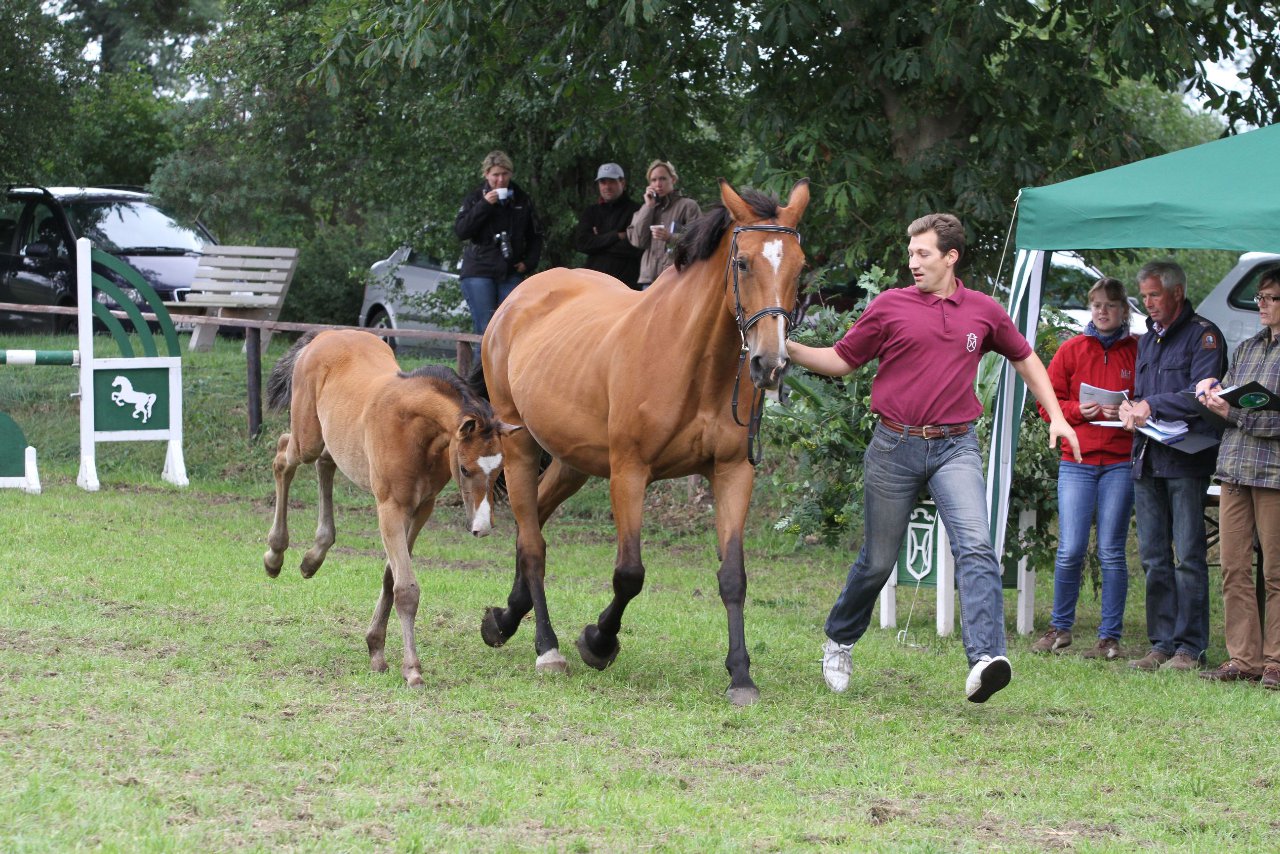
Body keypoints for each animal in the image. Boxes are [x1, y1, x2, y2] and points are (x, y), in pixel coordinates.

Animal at [264, 330, 519, 691]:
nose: (482, 527)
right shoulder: (390, 508)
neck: (413, 430)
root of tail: (325, 334)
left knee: (325, 463)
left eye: (499, 471)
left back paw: (314, 556)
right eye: (465, 469)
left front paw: (376, 649)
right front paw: (412, 668)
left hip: (334, 439)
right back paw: (275, 555)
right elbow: (406, 588)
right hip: (307, 438)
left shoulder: (421, 508)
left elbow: (390, 576)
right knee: (283, 455)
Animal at [481, 176, 808, 706]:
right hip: (521, 446)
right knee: (532, 543)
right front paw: (597, 641)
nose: (769, 363)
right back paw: (547, 648)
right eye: (742, 262)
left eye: (800, 267)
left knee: (533, 524)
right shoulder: (630, 473)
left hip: (573, 463)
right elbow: (629, 574)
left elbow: (733, 576)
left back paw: (505, 619)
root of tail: (518, 297)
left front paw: (740, 675)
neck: (693, 361)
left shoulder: (733, 473)